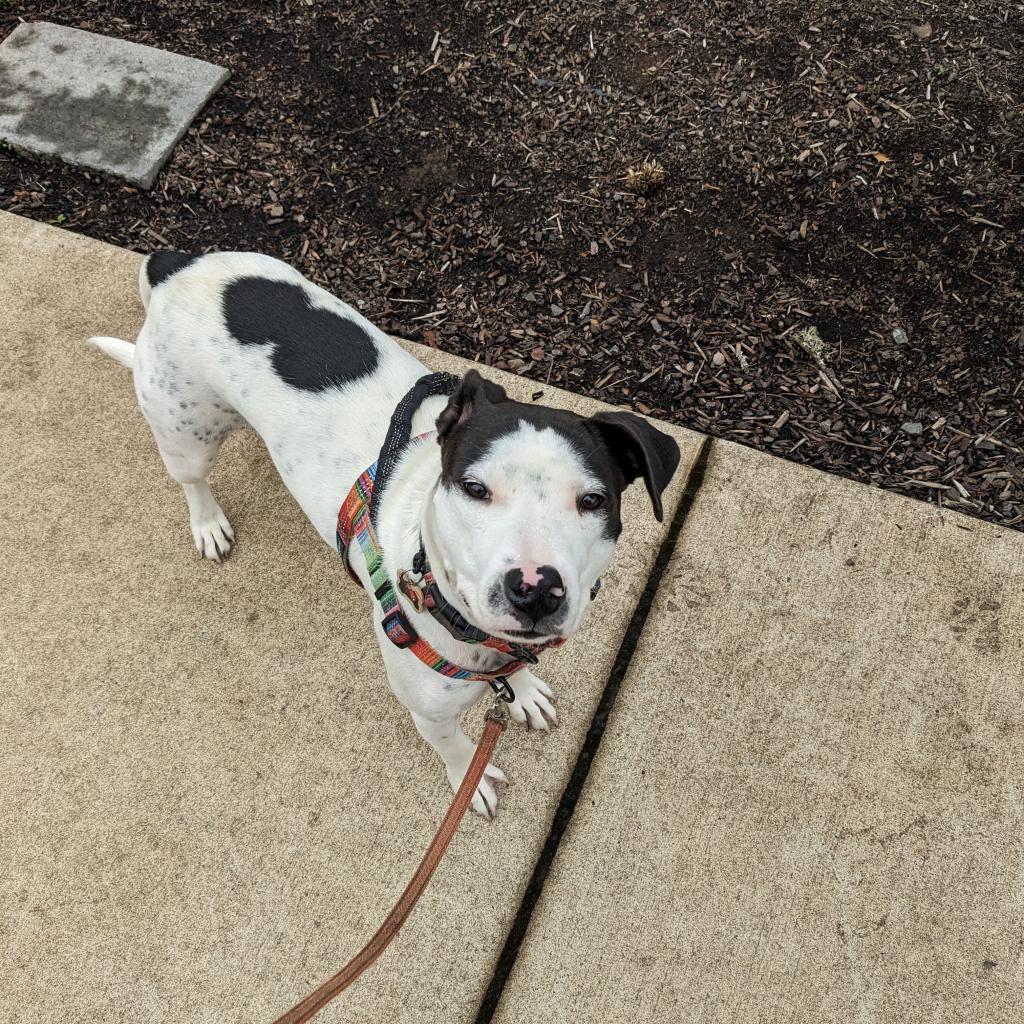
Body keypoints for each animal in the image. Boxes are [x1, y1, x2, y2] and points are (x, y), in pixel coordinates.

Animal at [88, 253, 679, 815]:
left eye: (593, 501)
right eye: (474, 488)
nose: (535, 588)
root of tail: (176, 265)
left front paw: (524, 691)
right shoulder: (430, 712)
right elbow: (455, 749)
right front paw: (470, 778)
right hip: (184, 433)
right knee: (192, 481)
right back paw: (208, 522)